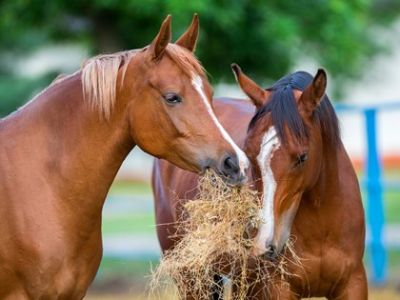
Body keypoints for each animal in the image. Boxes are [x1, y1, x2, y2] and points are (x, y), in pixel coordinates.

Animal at [154, 65, 368, 298]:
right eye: (248, 153)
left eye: (302, 157)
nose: (264, 242)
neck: (322, 227)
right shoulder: (277, 288)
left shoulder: (353, 284)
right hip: (192, 279)